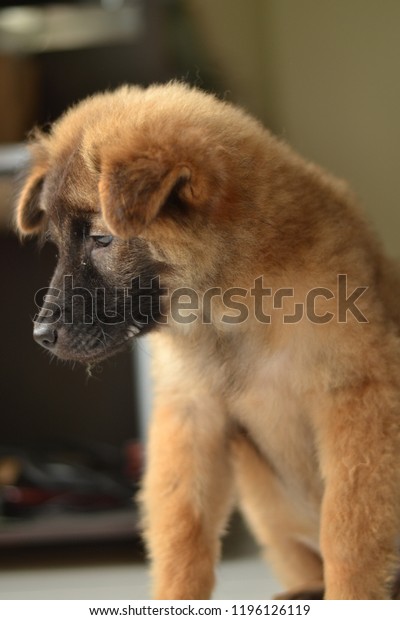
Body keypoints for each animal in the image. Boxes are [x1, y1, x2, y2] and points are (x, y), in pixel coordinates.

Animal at [16, 83, 400, 600]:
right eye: (57, 246)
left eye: (101, 239)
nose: (41, 335)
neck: (233, 307)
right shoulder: (192, 416)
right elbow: (182, 533)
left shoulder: (358, 401)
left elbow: (349, 530)